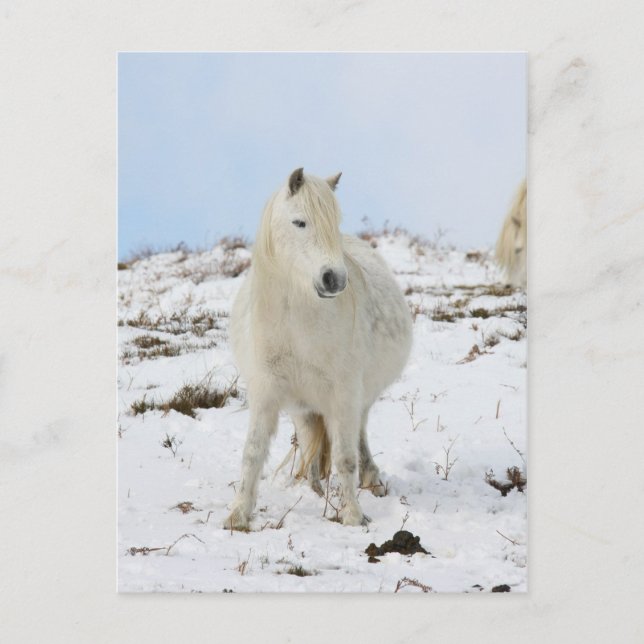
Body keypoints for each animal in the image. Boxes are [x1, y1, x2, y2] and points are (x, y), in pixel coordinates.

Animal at [223, 168, 412, 529]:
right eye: (299, 222)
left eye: (334, 222)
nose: (334, 279)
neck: (297, 326)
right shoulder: (266, 393)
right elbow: (252, 452)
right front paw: (238, 515)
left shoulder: (344, 395)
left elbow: (345, 457)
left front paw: (353, 516)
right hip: (303, 407)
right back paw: (312, 487)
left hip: (356, 400)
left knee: (358, 437)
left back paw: (372, 480)